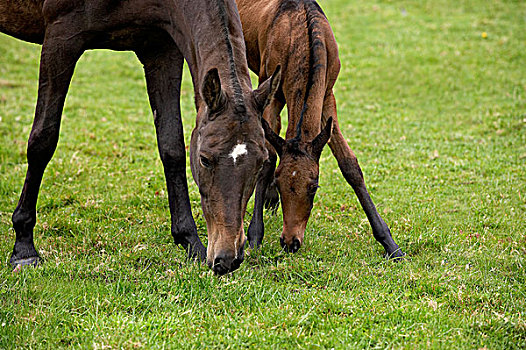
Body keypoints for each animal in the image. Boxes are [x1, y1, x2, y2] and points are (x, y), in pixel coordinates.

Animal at [0, 0, 282, 274]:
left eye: (260, 163)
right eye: (204, 159)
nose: (227, 259)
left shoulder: (161, 49)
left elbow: (172, 146)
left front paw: (191, 242)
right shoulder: (60, 39)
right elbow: (43, 141)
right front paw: (24, 247)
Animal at [237, 0, 406, 258]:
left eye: (313, 187)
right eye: (280, 183)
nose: (290, 242)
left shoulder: (327, 95)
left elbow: (349, 164)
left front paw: (390, 243)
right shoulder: (271, 88)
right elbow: (268, 159)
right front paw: (255, 235)